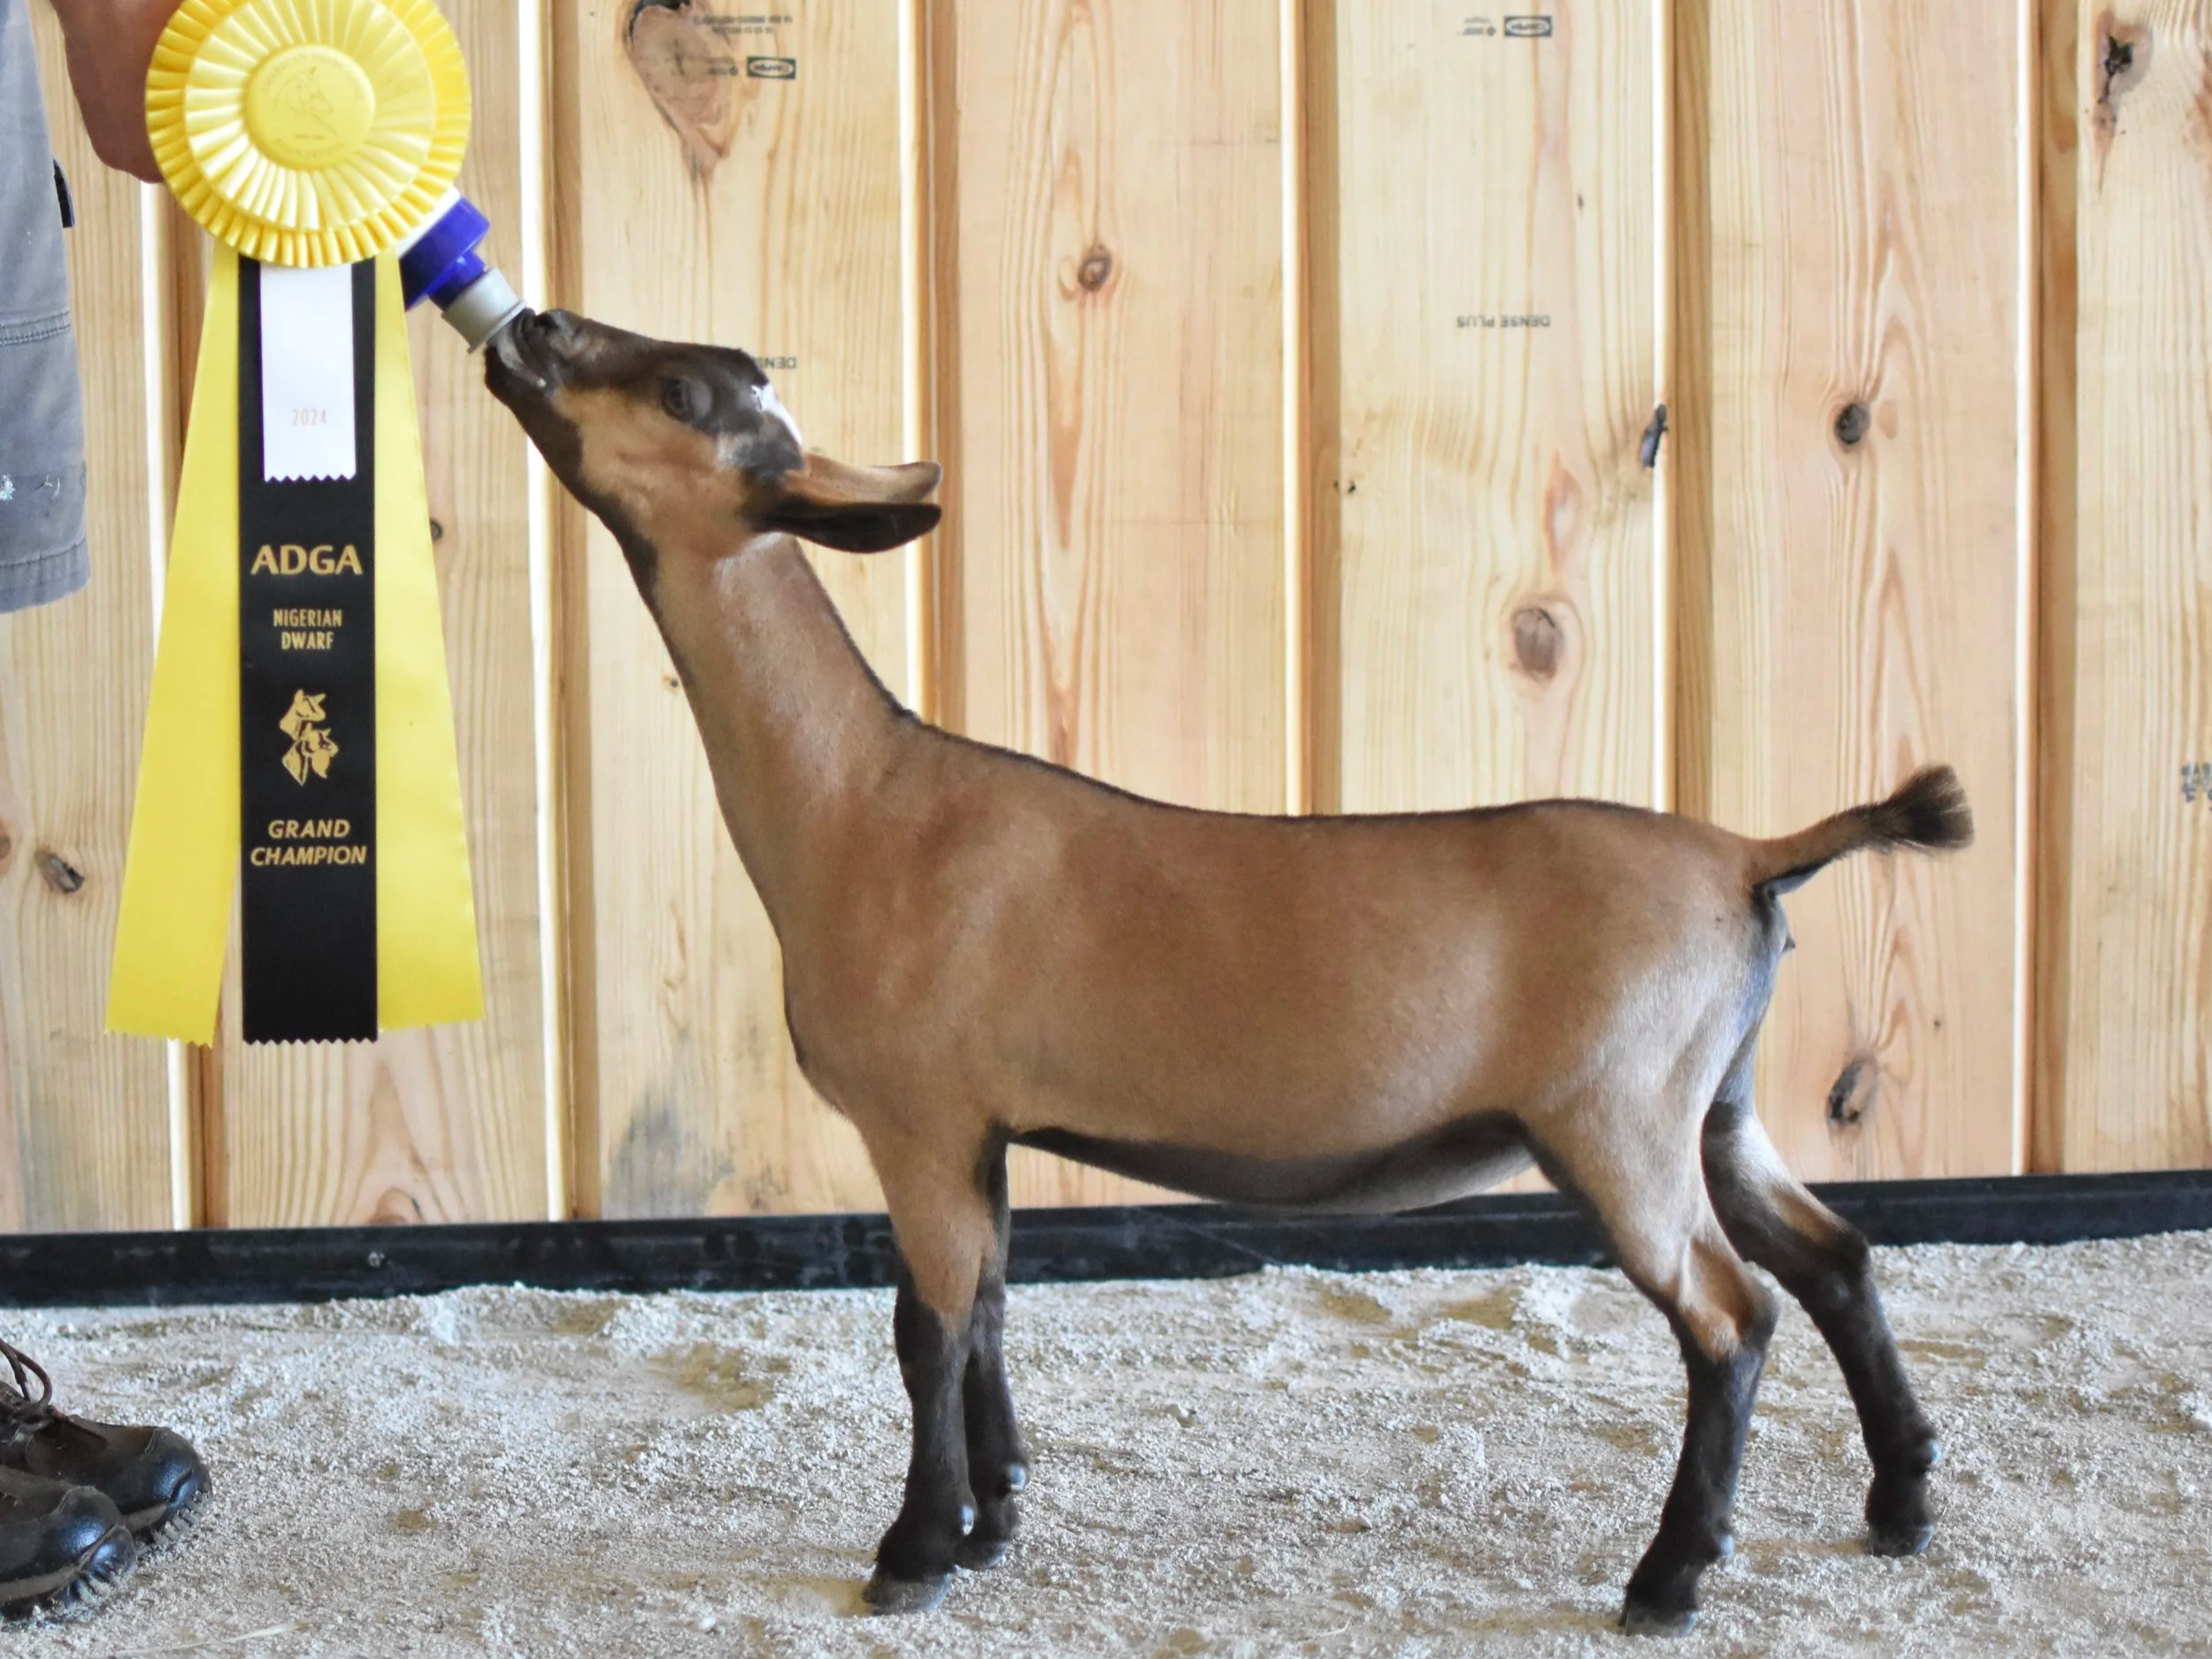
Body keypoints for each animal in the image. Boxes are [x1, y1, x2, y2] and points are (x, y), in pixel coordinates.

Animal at [486, 310, 1967, 1636]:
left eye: (682, 389)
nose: (530, 325)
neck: (865, 798)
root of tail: (1750, 858)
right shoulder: (983, 1128)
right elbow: (994, 1304)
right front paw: (997, 1511)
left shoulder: (917, 1115)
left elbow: (928, 1324)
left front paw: (914, 1551)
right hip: (1716, 1099)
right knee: (1835, 1255)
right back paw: (1900, 1504)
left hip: (1621, 1114)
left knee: (1732, 1313)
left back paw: (1668, 1576)